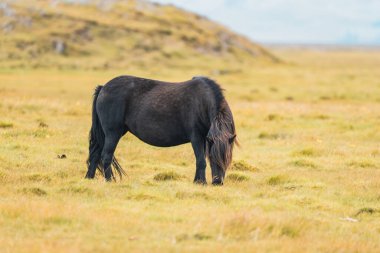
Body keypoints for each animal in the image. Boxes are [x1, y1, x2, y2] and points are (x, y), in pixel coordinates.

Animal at [84, 76, 236, 185]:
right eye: (213, 156)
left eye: (227, 157)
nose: (217, 182)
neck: (202, 101)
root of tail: (103, 88)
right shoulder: (197, 138)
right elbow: (201, 161)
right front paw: (201, 182)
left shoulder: (205, 138)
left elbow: (200, 160)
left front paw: (197, 181)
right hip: (112, 133)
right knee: (106, 156)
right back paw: (109, 181)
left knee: (95, 154)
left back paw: (89, 178)